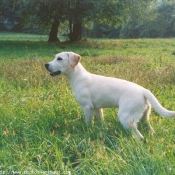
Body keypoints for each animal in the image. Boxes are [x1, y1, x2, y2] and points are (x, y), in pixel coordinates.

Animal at [45, 51, 175, 139]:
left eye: (59, 58)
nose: (46, 64)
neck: (77, 77)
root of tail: (143, 90)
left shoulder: (87, 108)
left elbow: (88, 122)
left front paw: (88, 130)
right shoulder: (97, 108)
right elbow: (101, 120)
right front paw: (102, 128)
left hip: (125, 117)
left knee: (140, 137)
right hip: (145, 117)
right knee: (149, 128)